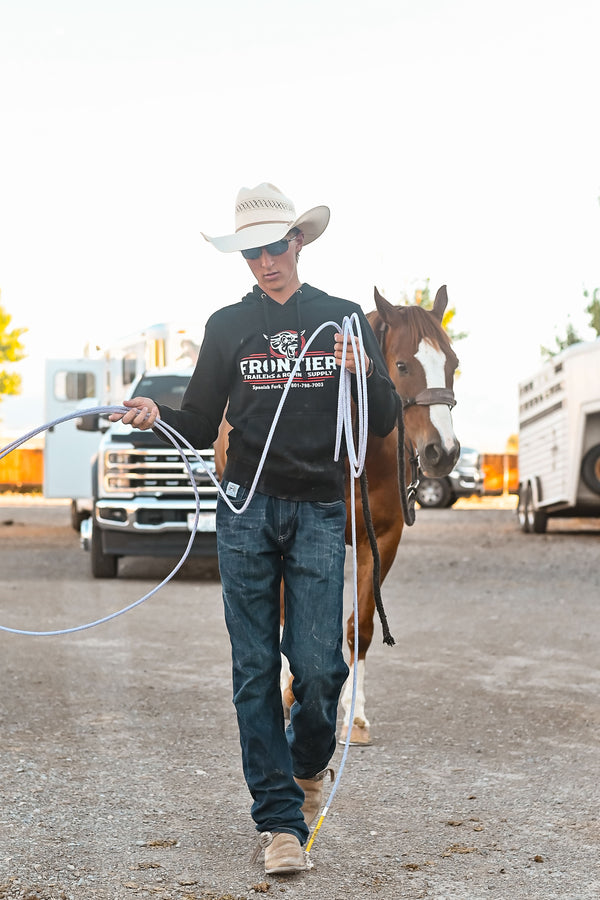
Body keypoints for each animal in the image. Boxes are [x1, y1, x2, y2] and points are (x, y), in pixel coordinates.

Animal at [212, 284, 460, 744]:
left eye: (453, 363)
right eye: (402, 364)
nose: (444, 452)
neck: (359, 454)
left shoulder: (381, 540)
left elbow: (360, 625)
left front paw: (355, 717)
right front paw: (291, 695)